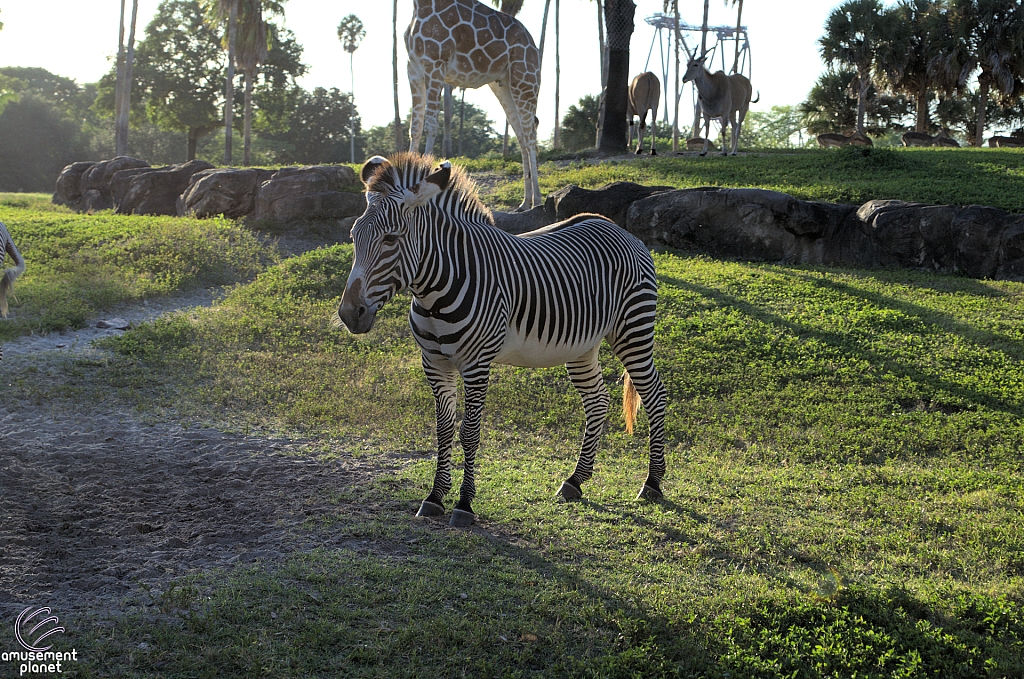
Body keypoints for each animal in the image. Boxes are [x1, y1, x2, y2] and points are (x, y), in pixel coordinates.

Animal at [337, 155, 671, 532]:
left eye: (391, 239)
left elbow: (469, 432)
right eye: (353, 236)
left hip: (633, 328)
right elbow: (442, 429)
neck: (434, 291)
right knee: (597, 401)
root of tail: (618, 228)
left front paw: (464, 504)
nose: (349, 314)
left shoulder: (476, 364)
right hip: (582, 345)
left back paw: (653, 483)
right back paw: (576, 480)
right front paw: (434, 497)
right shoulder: (434, 363)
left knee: (654, 395)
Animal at [403, 0, 540, 209]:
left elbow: (431, 126)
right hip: (503, 85)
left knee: (531, 136)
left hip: (526, 80)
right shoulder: (414, 68)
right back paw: (525, 202)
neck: (420, 5)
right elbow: (415, 128)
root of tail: (533, 44)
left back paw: (538, 201)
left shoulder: (435, 65)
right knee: (522, 137)